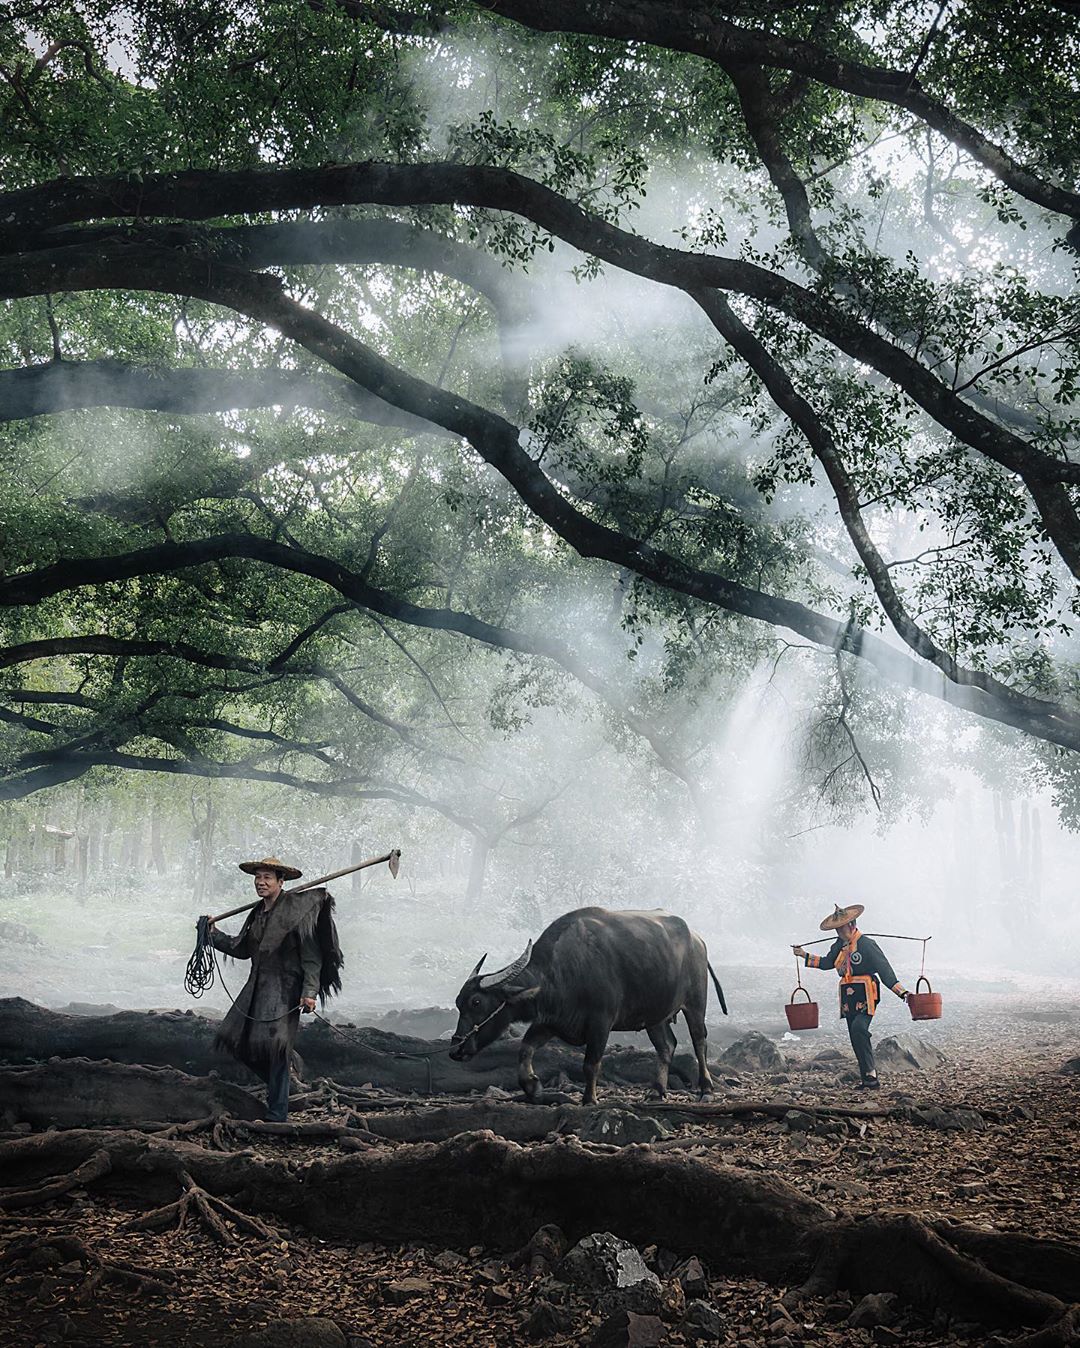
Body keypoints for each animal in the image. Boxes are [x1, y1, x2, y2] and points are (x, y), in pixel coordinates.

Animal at [447, 905, 722, 1105]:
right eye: (459, 1004)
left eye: (476, 1002)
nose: (455, 1050)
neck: (562, 971)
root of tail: (697, 939)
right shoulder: (549, 1023)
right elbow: (524, 1049)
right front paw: (533, 1087)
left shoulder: (601, 1022)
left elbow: (591, 1063)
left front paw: (589, 1099)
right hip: (655, 1015)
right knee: (666, 1046)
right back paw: (657, 1091)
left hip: (695, 1003)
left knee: (699, 1041)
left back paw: (706, 1089)